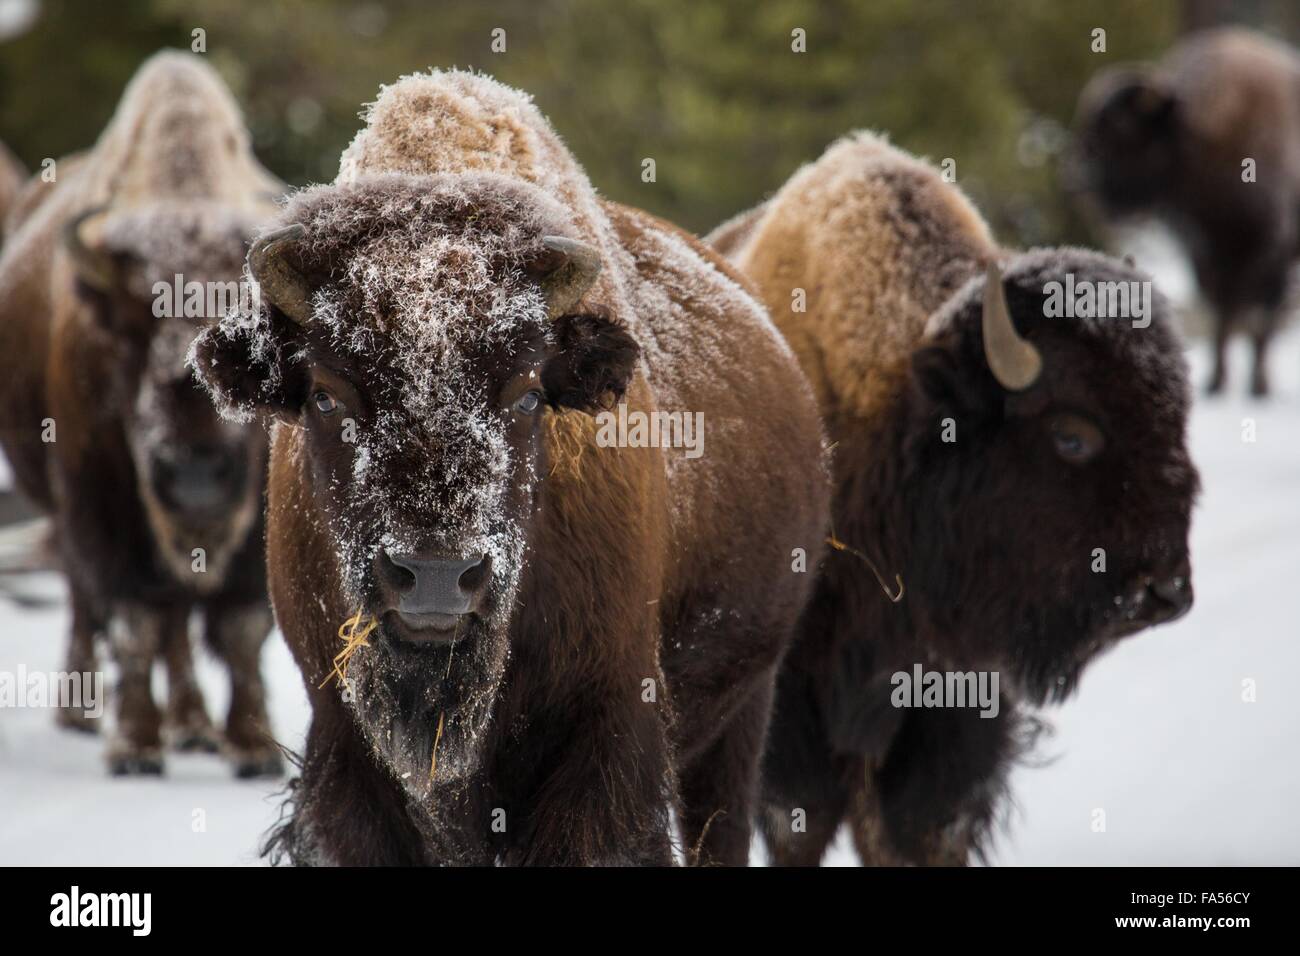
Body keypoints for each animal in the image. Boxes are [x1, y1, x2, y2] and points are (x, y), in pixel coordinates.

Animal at [710, 132, 1199, 865]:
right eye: (1072, 434)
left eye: (1175, 416)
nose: (1165, 592)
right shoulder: (792, 708)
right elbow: (801, 818)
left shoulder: (953, 702)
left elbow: (923, 825)